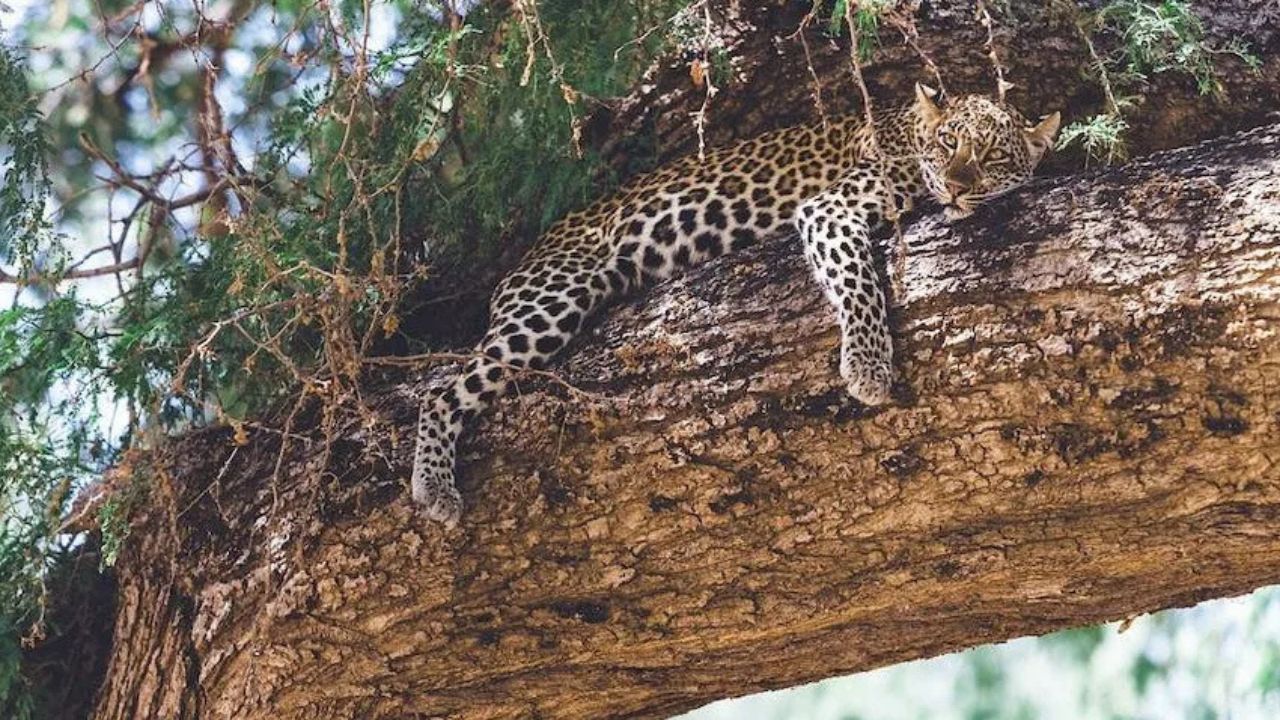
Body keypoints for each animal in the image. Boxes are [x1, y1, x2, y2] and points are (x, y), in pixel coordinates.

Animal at [411, 84, 1061, 525]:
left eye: (992, 157)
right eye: (950, 144)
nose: (955, 186)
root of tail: (526, 257)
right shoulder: (830, 209)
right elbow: (857, 278)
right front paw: (868, 364)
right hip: (553, 296)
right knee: (442, 391)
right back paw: (433, 485)